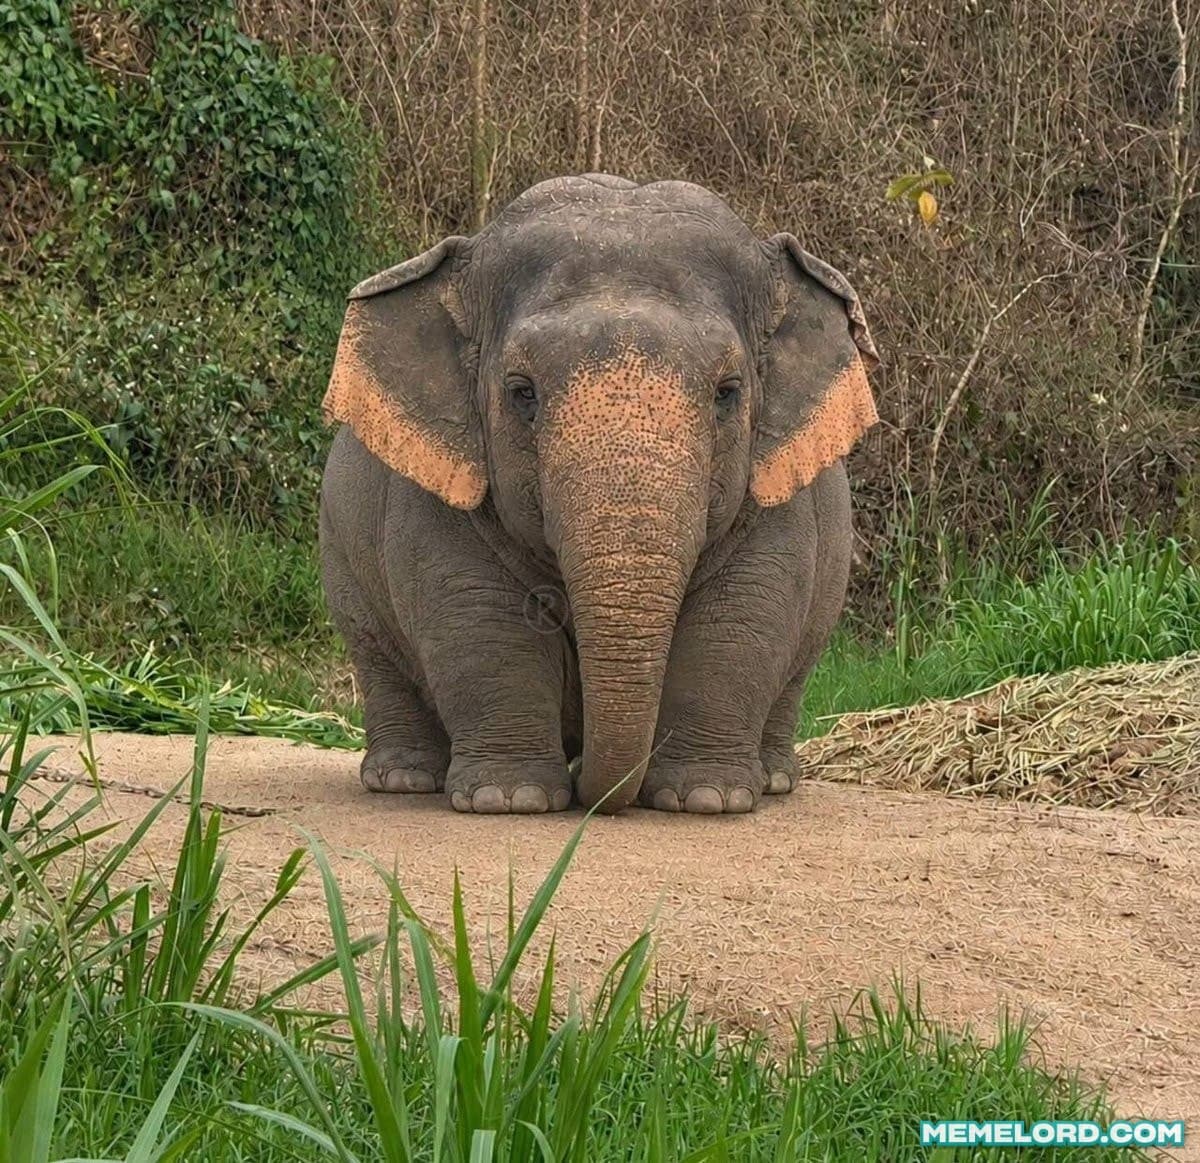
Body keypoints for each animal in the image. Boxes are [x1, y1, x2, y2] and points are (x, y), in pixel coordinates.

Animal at [319, 174, 879, 816]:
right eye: (522, 392)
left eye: (728, 392)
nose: (596, 791)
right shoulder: (438, 488)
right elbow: (477, 614)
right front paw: (508, 799)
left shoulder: (775, 489)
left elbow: (742, 612)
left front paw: (706, 799)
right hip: (341, 556)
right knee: (377, 654)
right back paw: (403, 780)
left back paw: (776, 780)